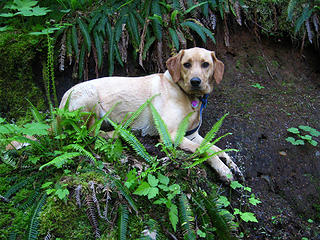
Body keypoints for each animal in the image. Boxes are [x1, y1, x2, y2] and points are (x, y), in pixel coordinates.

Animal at [60, 47, 241, 182]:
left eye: (205, 64)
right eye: (186, 64)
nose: (195, 81)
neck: (188, 96)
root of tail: (63, 98)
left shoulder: (192, 135)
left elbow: (216, 147)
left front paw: (232, 163)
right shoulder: (170, 136)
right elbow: (205, 150)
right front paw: (223, 169)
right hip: (90, 98)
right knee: (89, 133)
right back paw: (116, 133)